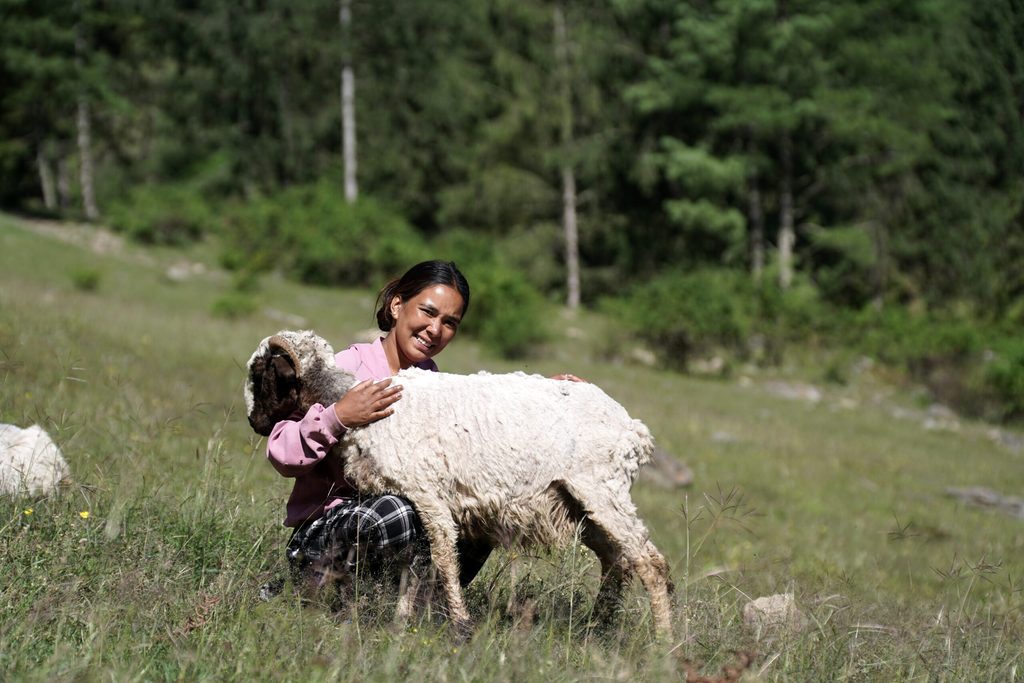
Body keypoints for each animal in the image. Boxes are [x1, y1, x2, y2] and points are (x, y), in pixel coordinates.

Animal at [246, 330, 673, 636]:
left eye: (261, 374)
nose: (256, 423)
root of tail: (633, 429)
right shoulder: (411, 497)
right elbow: (415, 561)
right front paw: (402, 622)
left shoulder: (428, 494)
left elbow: (443, 559)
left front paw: (459, 623)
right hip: (580, 504)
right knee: (617, 561)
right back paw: (598, 628)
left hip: (601, 488)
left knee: (650, 563)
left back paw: (662, 645)